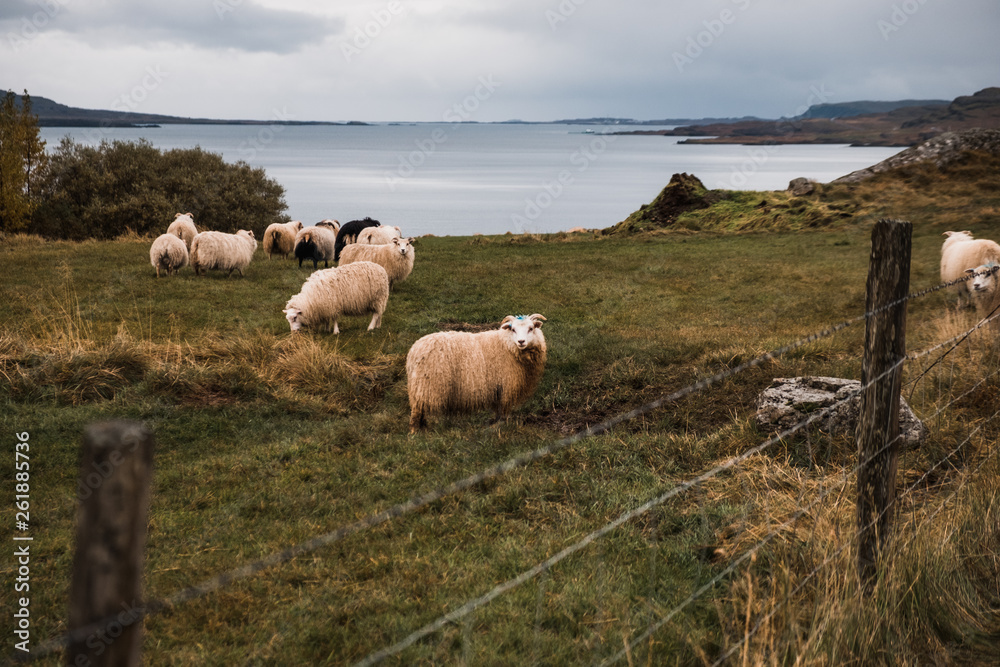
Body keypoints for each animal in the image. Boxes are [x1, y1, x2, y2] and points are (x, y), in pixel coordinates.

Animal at [406, 314, 547, 433]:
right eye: (513, 330)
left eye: (531, 328)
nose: (521, 341)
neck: (507, 345)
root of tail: (414, 351)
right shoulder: (506, 386)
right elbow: (504, 408)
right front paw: (503, 424)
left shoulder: (498, 389)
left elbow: (499, 408)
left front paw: (496, 423)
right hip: (427, 386)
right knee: (417, 411)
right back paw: (415, 432)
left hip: (420, 387)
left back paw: (423, 428)